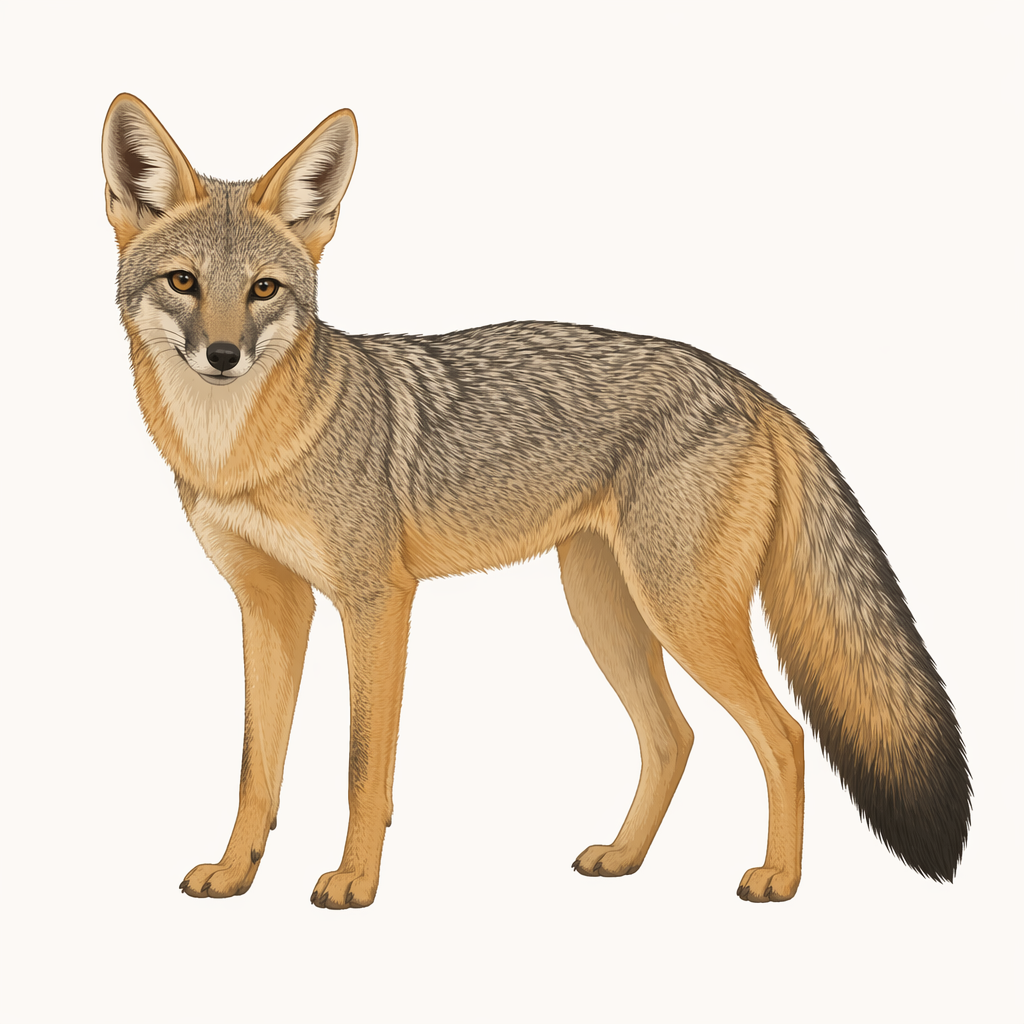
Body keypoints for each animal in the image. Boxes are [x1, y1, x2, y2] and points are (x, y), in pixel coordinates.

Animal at [102, 93, 970, 909]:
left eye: (264, 290)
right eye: (184, 282)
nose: (223, 355)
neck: (240, 454)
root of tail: (749, 387)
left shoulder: (376, 601)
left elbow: (362, 767)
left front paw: (354, 880)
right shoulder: (271, 606)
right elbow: (257, 768)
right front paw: (233, 871)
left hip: (679, 612)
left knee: (784, 735)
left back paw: (779, 879)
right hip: (604, 609)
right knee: (674, 737)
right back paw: (623, 857)